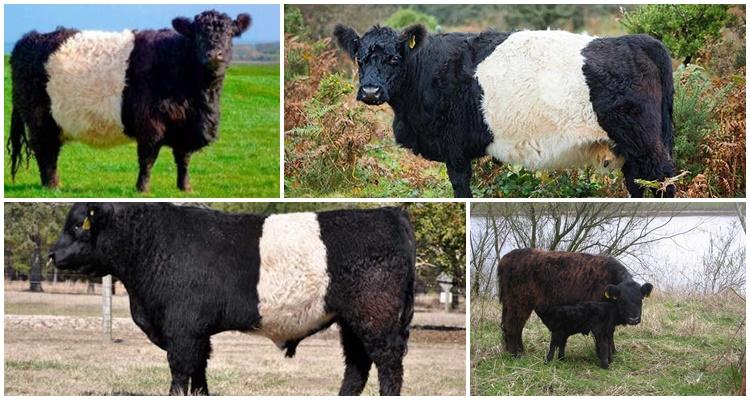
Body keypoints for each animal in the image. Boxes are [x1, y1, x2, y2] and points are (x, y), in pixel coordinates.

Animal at [8, 10, 251, 192]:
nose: (214, 54)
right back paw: (52, 186)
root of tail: (29, 39)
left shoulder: (185, 127)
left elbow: (183, 159)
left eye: (230, 34)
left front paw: (185, 188)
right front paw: (142, 189)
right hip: (39, 119)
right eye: (198, 35)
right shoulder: (150, 124)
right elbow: (147, 158)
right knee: (44, 151)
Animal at [48, 203, 416, 395]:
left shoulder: (182, 329)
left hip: (376, 318)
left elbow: (180, 373)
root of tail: (389, 213)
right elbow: (199, 374)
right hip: (351, 321)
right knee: (356, 366)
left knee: (388, 364)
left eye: (78, 225)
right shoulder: (197, 333)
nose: (52, 254)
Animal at [333, 24, 676, 198]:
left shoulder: (454, 147)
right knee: (637, 183)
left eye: (394, 59)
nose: (371, 92)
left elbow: (461, 187)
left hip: (644, 140)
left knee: (664, 178)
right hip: (630, 148)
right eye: (360, 59)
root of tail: (634, 40)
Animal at [497, 248, 652, 356]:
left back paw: (519, 351)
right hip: (519, 302)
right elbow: (607, 333)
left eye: (640, 300)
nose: (633, 319)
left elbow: (611, 332)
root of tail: (507, 257)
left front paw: (613, 352)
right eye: (622, 301)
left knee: (513, 326)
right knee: (512, 326)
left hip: (512, 303)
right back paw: (515, 354)